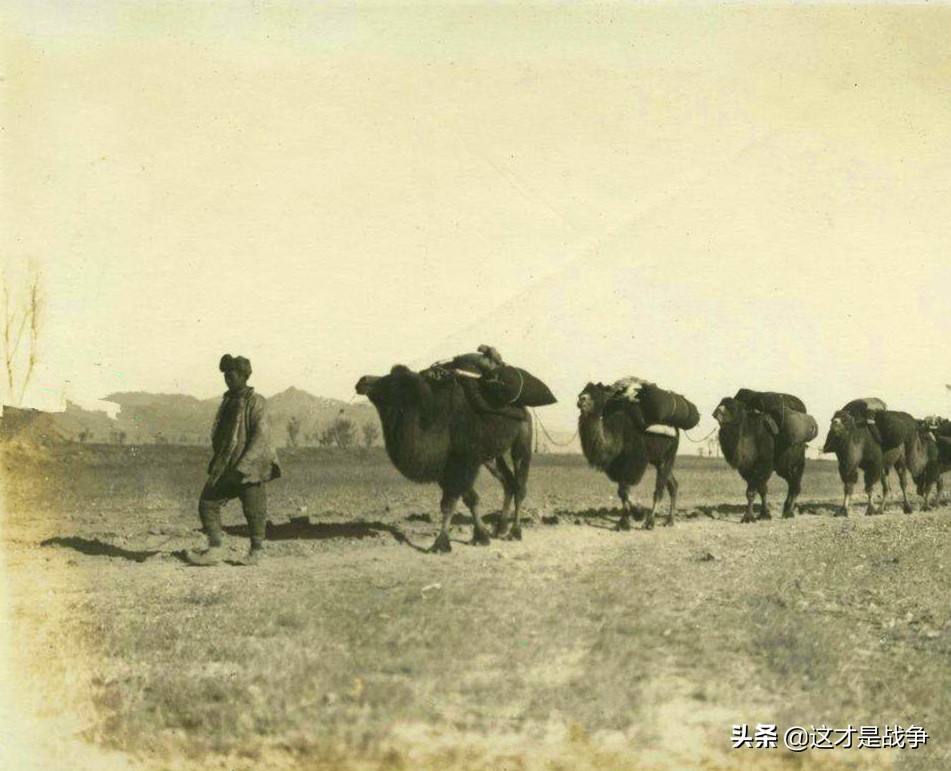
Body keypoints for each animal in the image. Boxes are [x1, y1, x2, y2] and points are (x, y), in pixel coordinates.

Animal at [356, 364, 536, 552]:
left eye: (393, 381)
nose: (363, 381)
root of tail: (523, 408)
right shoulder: (447, 468)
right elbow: (469, 499)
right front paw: (481, 536)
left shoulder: (464, 462)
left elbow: (450, 504)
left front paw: (440, 544)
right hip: (492, 456)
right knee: (508, 482)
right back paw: (500, 528)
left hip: (523, 438)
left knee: (520, 484)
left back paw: (514, 532)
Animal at [576, 382, 680, 532]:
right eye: (581, 392)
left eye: (596, 394)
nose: (581, 400)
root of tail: (676, 429)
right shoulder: (617, 466)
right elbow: (622, 492)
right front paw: (624, 522)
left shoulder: (633, 464)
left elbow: (624, 491)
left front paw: (638, 513)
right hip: (658, 460)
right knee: (673, 485)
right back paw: (669, 521)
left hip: (668, 456)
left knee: (659, 490)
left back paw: (650, 522)